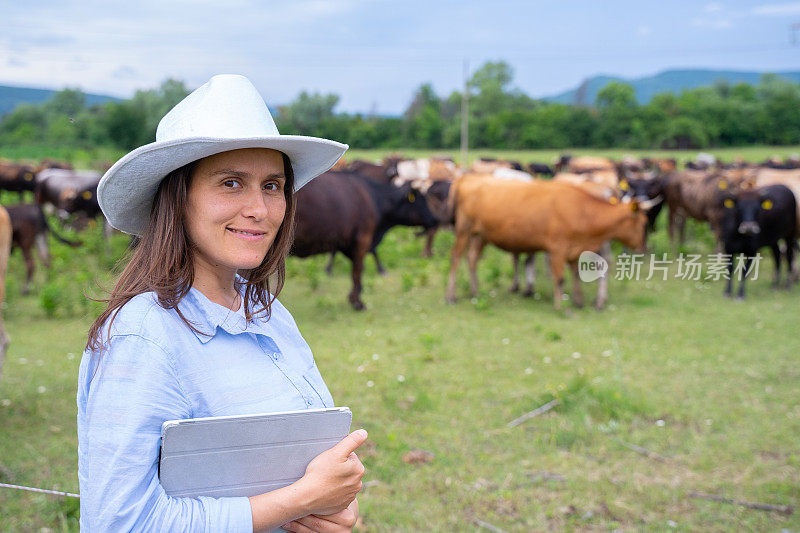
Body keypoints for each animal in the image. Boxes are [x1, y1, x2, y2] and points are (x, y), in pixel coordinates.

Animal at [444, 175, 648, 308]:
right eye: (642, 222)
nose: (643, 247)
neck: (582, 209)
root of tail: (467, 177)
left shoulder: (574, 248)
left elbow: (575, 274)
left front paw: (578, 301)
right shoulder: (558, 247)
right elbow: (560, 277)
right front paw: (562, 307)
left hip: (479, 235)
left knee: (472, 258)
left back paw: (475, 291)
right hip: (463, 230)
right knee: (455, 258)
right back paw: (451, 296)